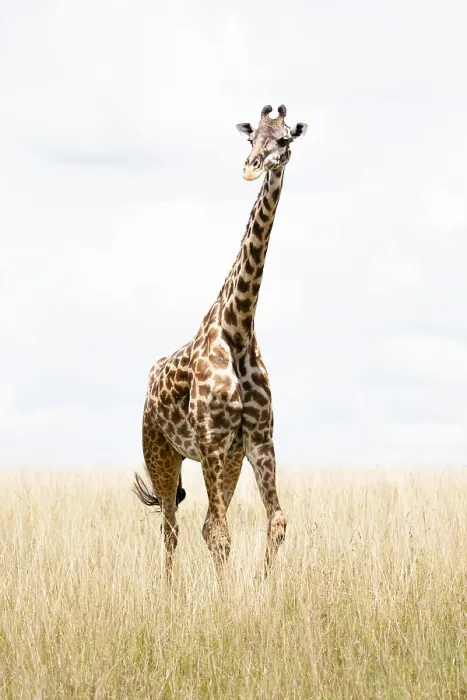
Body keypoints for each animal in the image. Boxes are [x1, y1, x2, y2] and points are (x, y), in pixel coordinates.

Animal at [134, 104, 307, 576]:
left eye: (283, 139)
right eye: (251, 139)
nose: (251, 167)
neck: (238, 327)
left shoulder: (257, 439)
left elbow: (276, 522)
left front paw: (265, 584)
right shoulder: (210, 439)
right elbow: (222, 535)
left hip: (227, 460)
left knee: (203, 524)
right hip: (160, 451)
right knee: (171, 526)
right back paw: (169, 588)